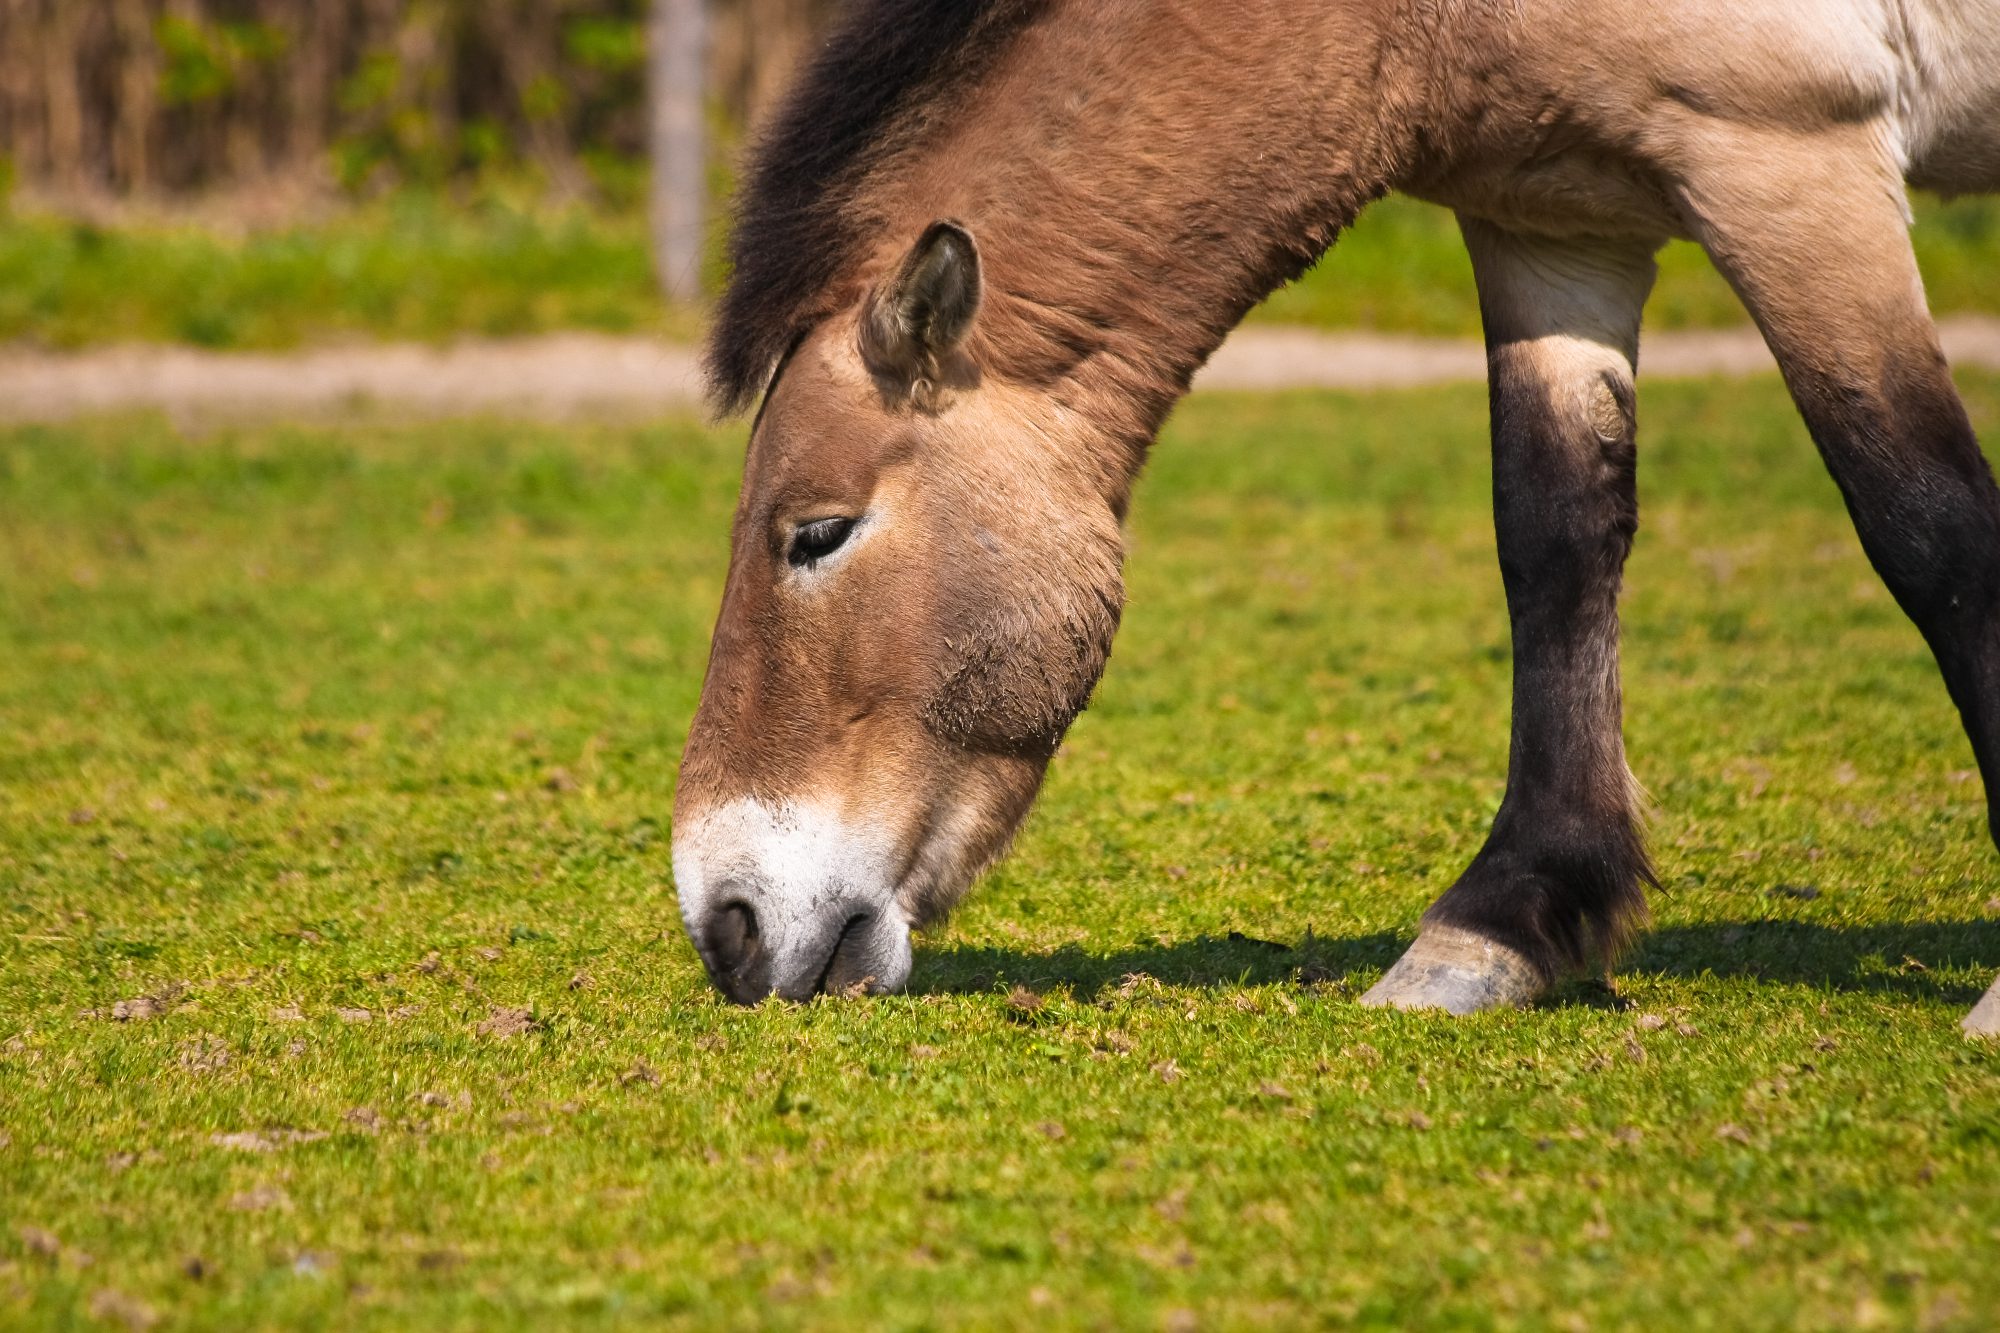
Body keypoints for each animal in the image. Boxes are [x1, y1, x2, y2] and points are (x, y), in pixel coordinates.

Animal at [672, 0, 2000, 1024]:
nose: (723, 923)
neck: (1408, 21)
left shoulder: (1782, 154)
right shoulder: (1556, 222)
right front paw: (1494, 929)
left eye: (815, 534)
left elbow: (1933, 530)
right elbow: (1554, 540)